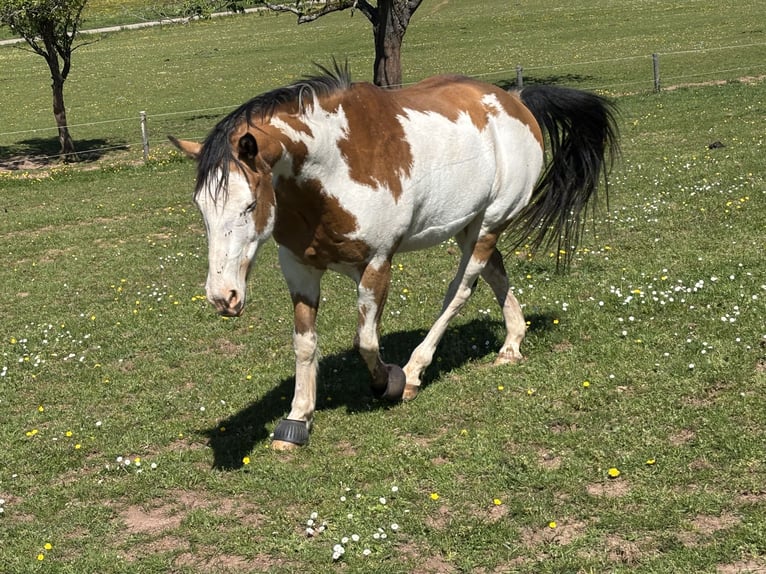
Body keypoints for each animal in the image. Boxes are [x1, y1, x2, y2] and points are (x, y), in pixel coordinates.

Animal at [169, 63, 618, 451]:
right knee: (496, 274)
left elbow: (366, 341)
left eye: (248, 206)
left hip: (489, 224)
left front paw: (388, 381)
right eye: (201, 208)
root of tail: (515, 101)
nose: (222, 297)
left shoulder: (377, 264)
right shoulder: (298, 267)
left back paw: (417, 371)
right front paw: (296, 420)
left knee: (461, 290)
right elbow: (305, 344)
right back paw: (511, 345)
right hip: (470, 226)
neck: (330, 169)